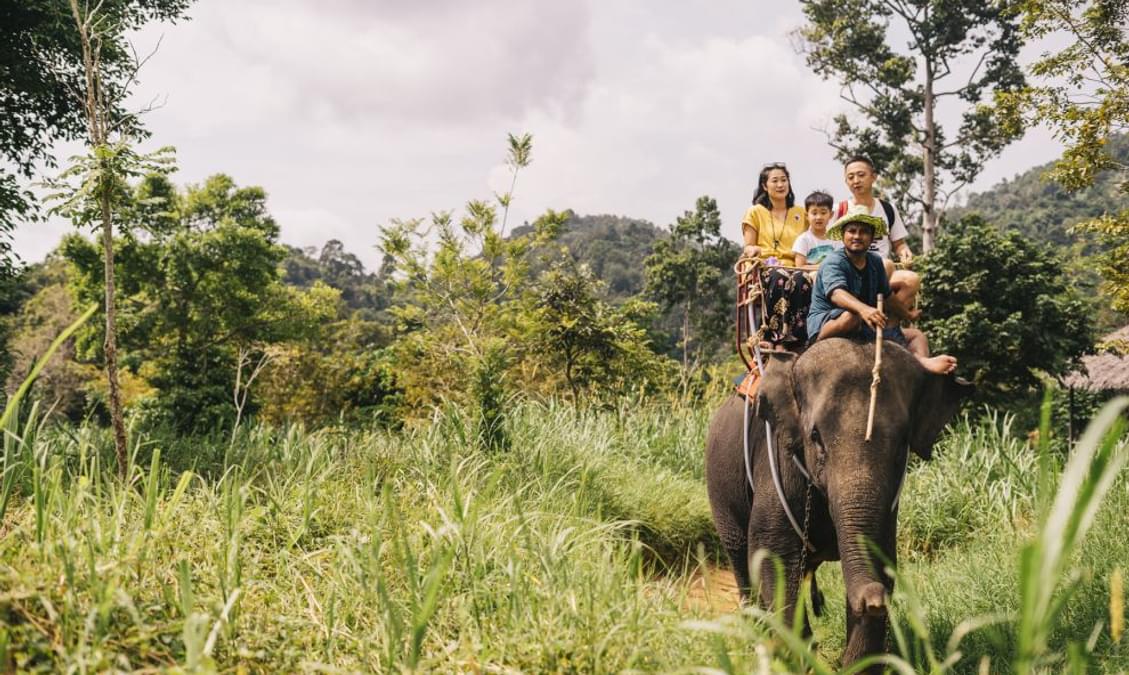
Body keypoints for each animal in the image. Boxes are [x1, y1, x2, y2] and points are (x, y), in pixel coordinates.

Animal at [705, 337, 972, 668]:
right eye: (815, 436)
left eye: (902, 442)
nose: (874, 599)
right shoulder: (777, 460)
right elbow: (772, 553)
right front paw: (801, 658)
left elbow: (881, 552)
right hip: (719, 483)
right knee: (740, 553)